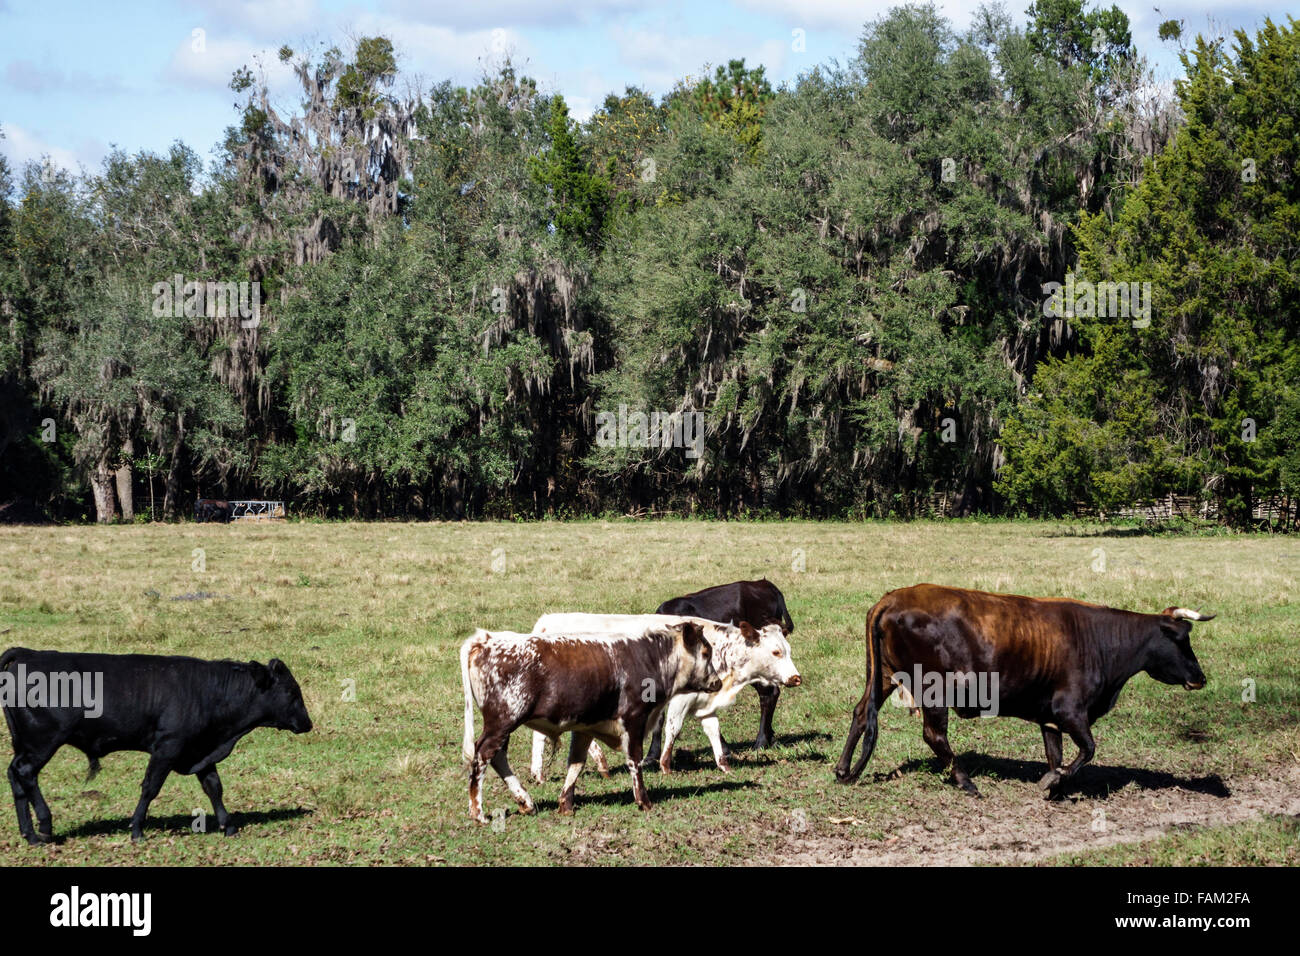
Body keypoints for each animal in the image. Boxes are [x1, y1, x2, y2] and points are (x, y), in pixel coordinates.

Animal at [1, 650, 312, 842]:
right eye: (290, 691)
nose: (308, 723)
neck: (208, 692)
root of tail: (28, 653)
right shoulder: (167, 748)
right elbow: (150, 788)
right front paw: (137, 828)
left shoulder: (200, 751)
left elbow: (214, 787)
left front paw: (229, 826)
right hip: (43, 742)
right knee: (25, 774)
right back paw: (44, 826)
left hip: (25, 745)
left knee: (15, 775)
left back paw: (29, 834)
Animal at [457, 621, 722, 822]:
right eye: (706, 653)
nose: (717, 682)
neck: (651, 658)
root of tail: (487, 639)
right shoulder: (634, 718)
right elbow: (634, 760)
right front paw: (644, 801)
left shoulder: (585, 728)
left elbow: (576, 763)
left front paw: (565, 804)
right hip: (503, 721)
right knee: (484, 755)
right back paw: (478, 812)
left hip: (503, 724)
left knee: (497, 756)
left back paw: (526, 802)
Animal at [530, 616, 800, 780]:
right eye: (775, 652)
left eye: (787, 649)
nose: (796, 678)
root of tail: (545, 623)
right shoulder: (681, 699)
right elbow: (673, 727)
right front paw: (666, 765)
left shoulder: (706, 702)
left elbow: (713, 729)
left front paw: (724, 765)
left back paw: (541, 774)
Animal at [837, 582, 1211, 801]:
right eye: (1181, 639)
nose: (1200, 678)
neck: (1099, 640)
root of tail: (892, 598)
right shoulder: (1070, 710)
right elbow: (1088, 749)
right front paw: (1053, 781)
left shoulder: (1050, 717)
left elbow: (1056, 754)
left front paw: (1055, 785)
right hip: (934, 689)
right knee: (934, 735)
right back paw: (966, 781)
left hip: (883, 676)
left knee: (861, 713)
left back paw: (842, 770)